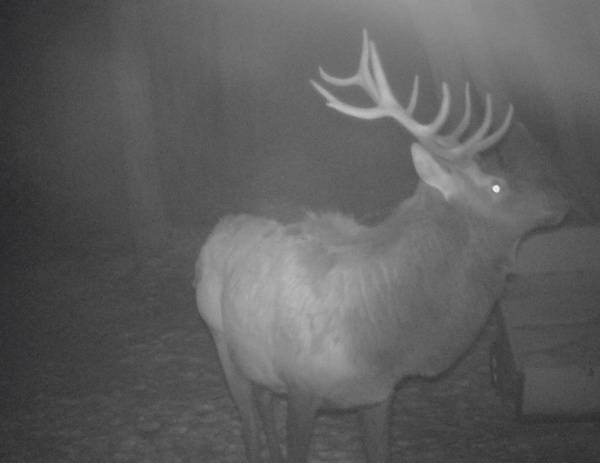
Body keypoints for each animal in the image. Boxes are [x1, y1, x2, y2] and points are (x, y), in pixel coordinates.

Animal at [196, 30, 568, 463]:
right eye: (496, 186)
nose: (561, 200)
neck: (384, 342)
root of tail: (219, 227)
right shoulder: (301, 386)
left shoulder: (378, 393)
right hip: (222, 341)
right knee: (249, 426)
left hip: (258, 363)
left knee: (262, 405)